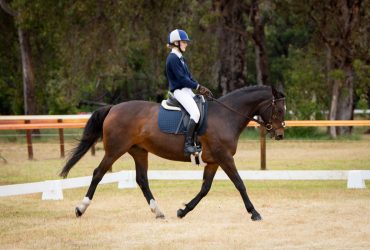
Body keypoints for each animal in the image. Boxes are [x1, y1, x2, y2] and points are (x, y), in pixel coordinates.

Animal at [60, 85, 286, 221]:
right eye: (279, 110)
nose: (280, 134)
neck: (226, 116)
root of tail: (114, 108)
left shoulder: (213, 161)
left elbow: (205, 188)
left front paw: (183, 210)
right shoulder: (224, 157)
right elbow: (239, 183)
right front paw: (254, 212)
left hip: (139, 152)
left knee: (142, 180)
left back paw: (158, 211)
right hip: (115, 150)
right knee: (98, 173)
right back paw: (80, 208)